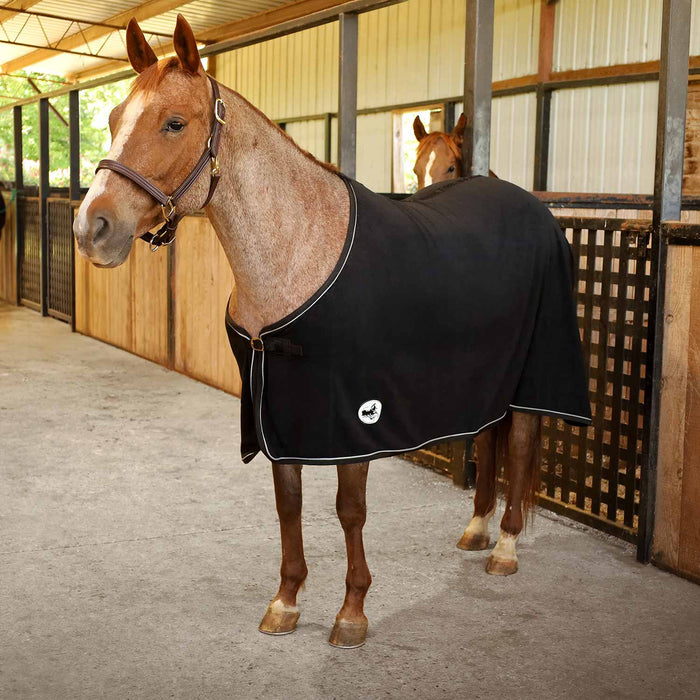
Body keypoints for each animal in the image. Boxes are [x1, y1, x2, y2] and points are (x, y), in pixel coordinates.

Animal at [74, 15, 590, 649]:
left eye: (174, 123)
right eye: (114, 119)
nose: (92, 228)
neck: (299, 253)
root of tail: (533, 207)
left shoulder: (355, 416)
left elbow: (349, 509)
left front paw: (352, 612)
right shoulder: (277, 409)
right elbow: (288, 506)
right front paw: (286, 602)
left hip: (538, 368)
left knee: (518, 440)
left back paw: (507, 548)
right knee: (490, 437)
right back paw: (477, 529)